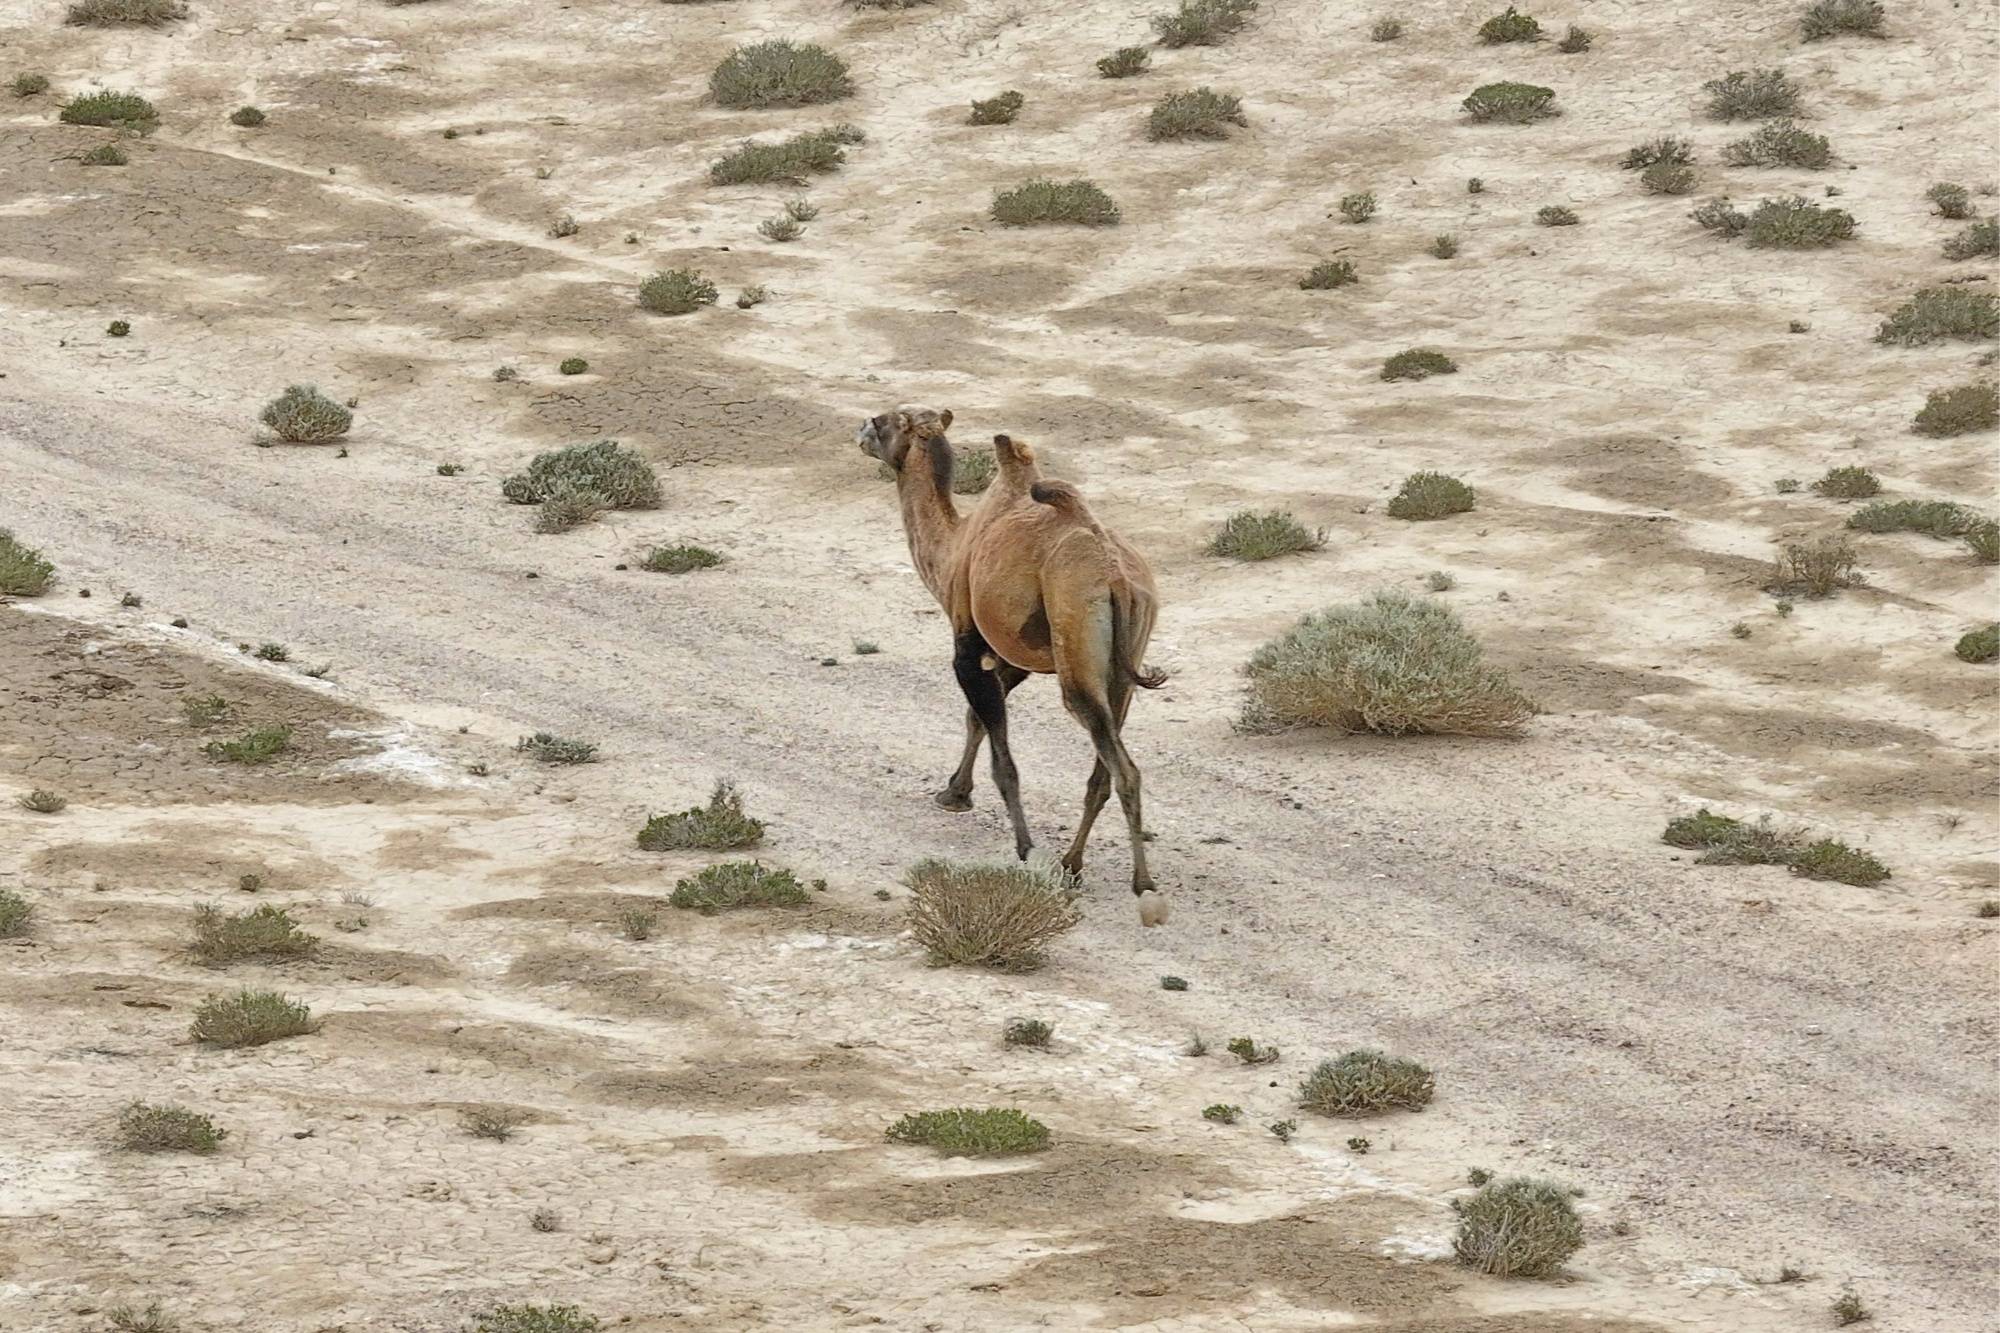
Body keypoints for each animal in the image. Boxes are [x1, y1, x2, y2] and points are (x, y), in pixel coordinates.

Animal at [848, 408, 1168, 924]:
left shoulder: (967, 642)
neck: (953, 548)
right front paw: (955, 794)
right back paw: (1072, 863)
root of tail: (1117, 578)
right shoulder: (1013, 660)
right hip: (1123, 668)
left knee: (1122, 768)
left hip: (1076, 650)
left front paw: (1022, 846)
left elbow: (1003, 756)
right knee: (1103, 767)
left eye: (883, 420)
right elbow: (977, 720)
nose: (860, 431)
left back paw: (1142, 884)